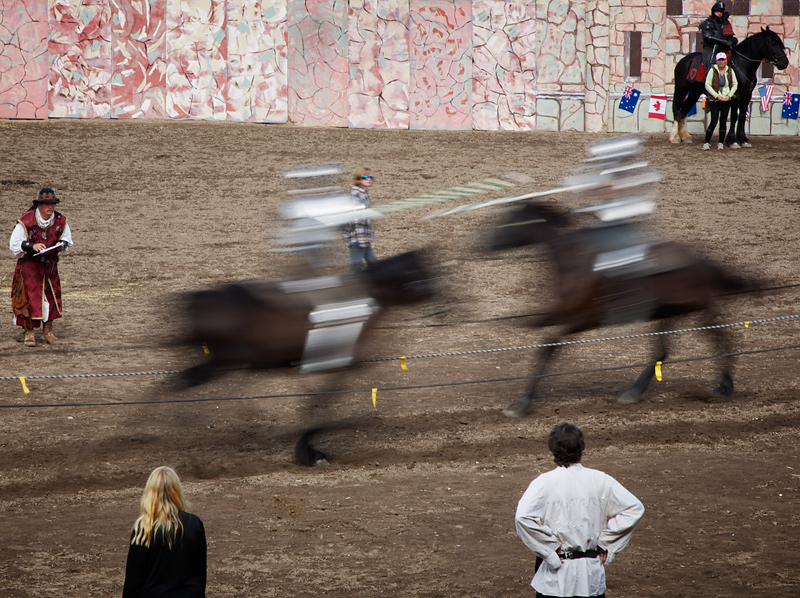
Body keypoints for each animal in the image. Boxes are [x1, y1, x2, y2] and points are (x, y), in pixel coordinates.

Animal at [488, 204, 756, 420]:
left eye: (509, 222)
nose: (485, 245)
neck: (575, 265)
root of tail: (699, 259)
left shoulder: (587, 319)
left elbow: (549, 346)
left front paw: (521, 404)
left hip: (695, 306)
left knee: (718, 337)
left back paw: (721, 388)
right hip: (669, 312)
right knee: (667, 348)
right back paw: (636, 391)